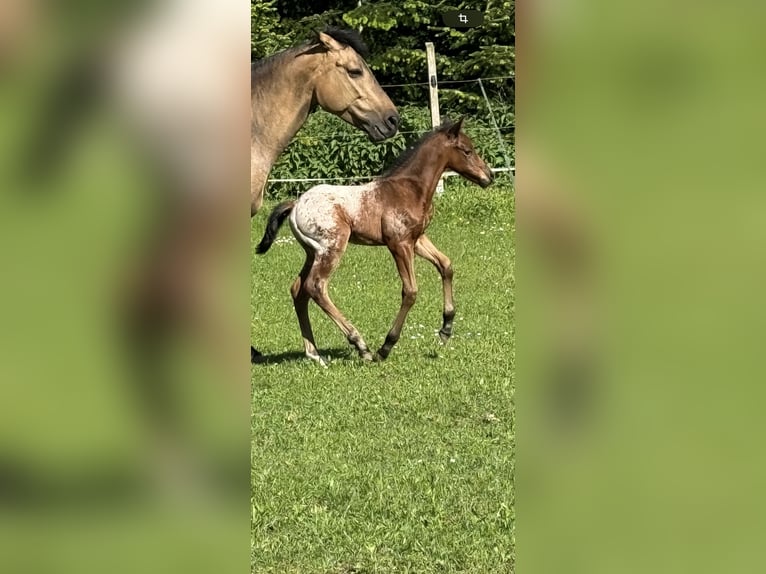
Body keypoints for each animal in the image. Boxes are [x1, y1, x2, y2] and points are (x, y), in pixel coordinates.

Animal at [258, 119, 496, 366]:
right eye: (467, 151)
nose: (489, 176)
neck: (409, 189)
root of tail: (296, 204)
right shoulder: (399, 244)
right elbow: (410, 291)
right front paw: (386, 347)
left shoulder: (417, 239)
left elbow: (446, 266)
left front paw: (446, 329)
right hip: (332, 248)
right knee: (315, 286)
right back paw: (361, 346)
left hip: (312, 252)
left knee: (298, 289)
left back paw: (315, 354)